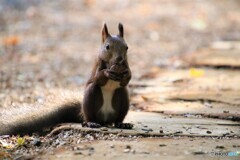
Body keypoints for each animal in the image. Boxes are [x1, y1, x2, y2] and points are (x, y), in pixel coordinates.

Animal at [0, 22, 132, 135]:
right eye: (107, 47)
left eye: (126, 47)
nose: (120, 59)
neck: (112, 64)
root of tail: (104, 120)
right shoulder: (97, 65)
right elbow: (97, 77)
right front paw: (107, 73)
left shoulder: (126, 65)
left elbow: (129, 76)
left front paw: (125, 76)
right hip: (90, 97)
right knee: (90, 112)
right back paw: (91, 123)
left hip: (123, 97)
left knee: (119, 115)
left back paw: (122, 124)